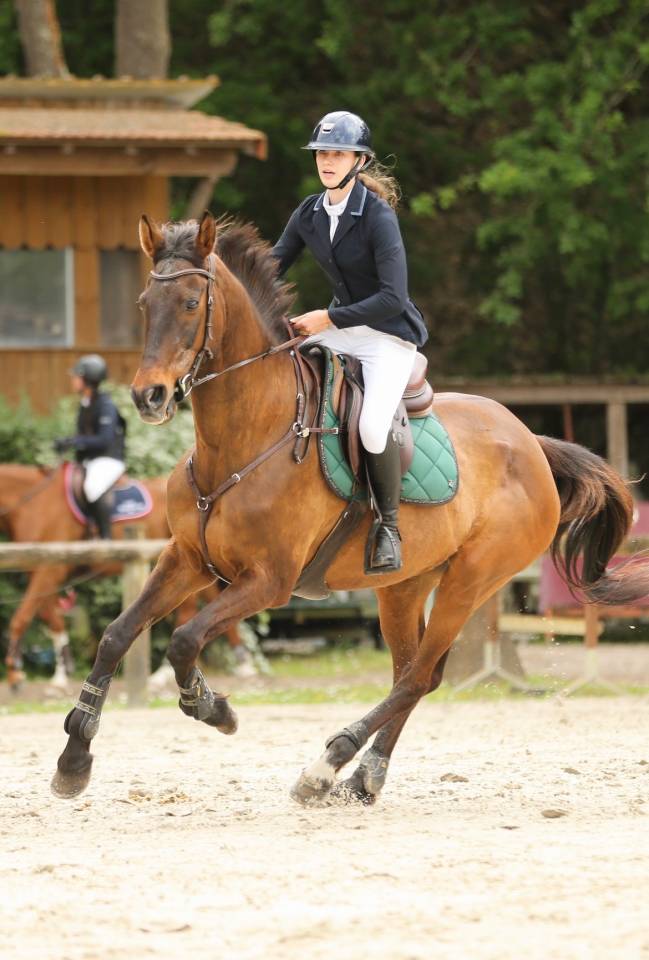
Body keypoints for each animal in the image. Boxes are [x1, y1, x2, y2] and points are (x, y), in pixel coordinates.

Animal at [0, 463, 250, 690]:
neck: (34, 502)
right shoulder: (41, 572)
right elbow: (51, 618)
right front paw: (62, 671)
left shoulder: (48, 570)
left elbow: (21, 618)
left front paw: (15, 674)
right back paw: (239, 661)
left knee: (190, 610)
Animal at [52, 211, 649, 805]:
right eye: (142, 304)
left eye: (192, 304)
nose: (147, 397)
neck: (241, 440)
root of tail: (532, 444)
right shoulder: (188, 559)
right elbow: (118, 635)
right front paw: (75, 757)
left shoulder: (267, 580)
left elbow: (183, 640)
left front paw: (212, 707)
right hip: (404, 585)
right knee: (415, 674)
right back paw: (365, 776)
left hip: (471, 580)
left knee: (418, 676)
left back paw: (326, 765)